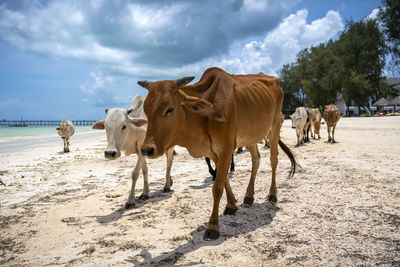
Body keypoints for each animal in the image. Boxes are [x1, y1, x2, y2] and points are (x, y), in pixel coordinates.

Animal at [133, 67, 296, 241]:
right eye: (146, 111)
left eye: (169, 109)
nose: (146, 150)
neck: (204, 115)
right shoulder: (214, 152)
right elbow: (223, 180)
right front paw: (232, 205)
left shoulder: (226, 148)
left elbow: (217, 188)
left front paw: (213, 226)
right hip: (251, 136)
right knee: (256, 160)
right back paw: (249, 196)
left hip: (275, 126)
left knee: (273, 159)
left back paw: (272, 194)